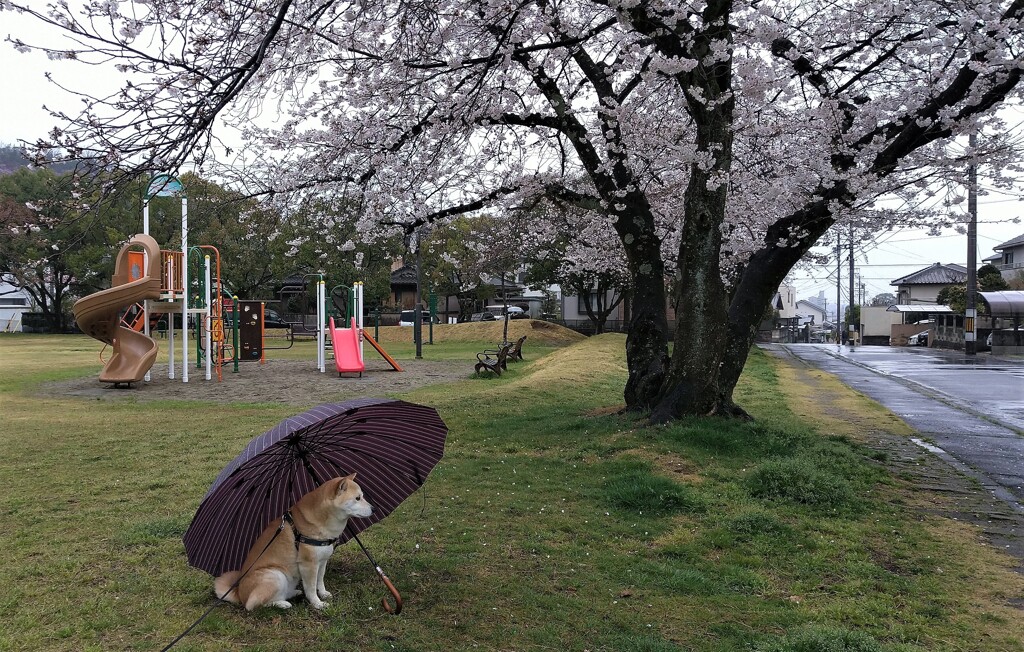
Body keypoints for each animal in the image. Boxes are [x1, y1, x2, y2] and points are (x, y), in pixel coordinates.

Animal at [214, 472, 374, 610]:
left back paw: (293, 593)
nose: (373, 508)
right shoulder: (308, 564)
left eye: (362, 496)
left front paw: (323, 594)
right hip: (274, 575)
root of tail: (239, 593)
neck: (324, 521)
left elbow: (320, 580)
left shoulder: (322, 561)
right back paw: (282, 604)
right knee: (253, 604)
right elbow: (311, 587)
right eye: (357, 498)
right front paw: (317, 603)